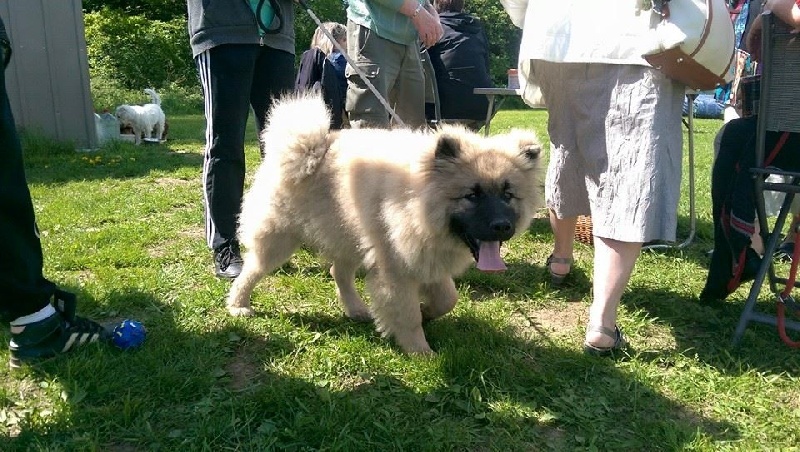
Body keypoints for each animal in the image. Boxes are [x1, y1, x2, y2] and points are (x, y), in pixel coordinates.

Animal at [228, 93, 548, 354]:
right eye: (472, 195)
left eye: (508, 195)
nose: (502, 226)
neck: (417, 202)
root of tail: (305, 148)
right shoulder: (396, 269)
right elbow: (407, 315)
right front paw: (420, 351)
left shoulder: (427, 260)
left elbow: (448, 298)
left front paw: (428, 311)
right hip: (279, 239)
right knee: (252, 270)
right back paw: (238, 305)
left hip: (349, 236)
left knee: (338, 272)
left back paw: (355, 309)